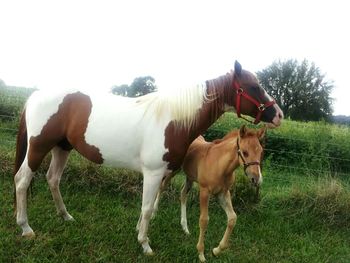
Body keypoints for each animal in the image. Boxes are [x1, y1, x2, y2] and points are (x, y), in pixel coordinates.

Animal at [180, 126, 266, 262]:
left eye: (261, 152)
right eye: (245, 152)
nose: (256, 179)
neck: (220, 165)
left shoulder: (223, 193)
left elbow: (232, 218)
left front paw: (216, 250)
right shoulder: (204, 191)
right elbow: (204, 220)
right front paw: (201, 253)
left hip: (190, 178)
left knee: (183, 194)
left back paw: (185, 228)